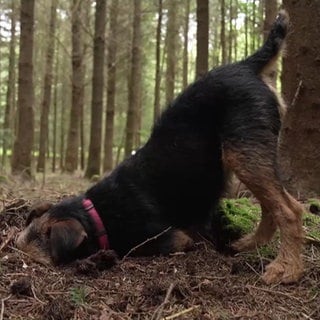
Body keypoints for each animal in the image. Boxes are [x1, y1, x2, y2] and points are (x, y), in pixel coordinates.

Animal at [16, 11, 304, 284]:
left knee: (290, 210)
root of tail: (247, 65)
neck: (95, 213)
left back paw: (286, 268)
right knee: (274, 206)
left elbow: (137, 247)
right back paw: (247, 244)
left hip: (243, 152)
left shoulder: (168, 238)